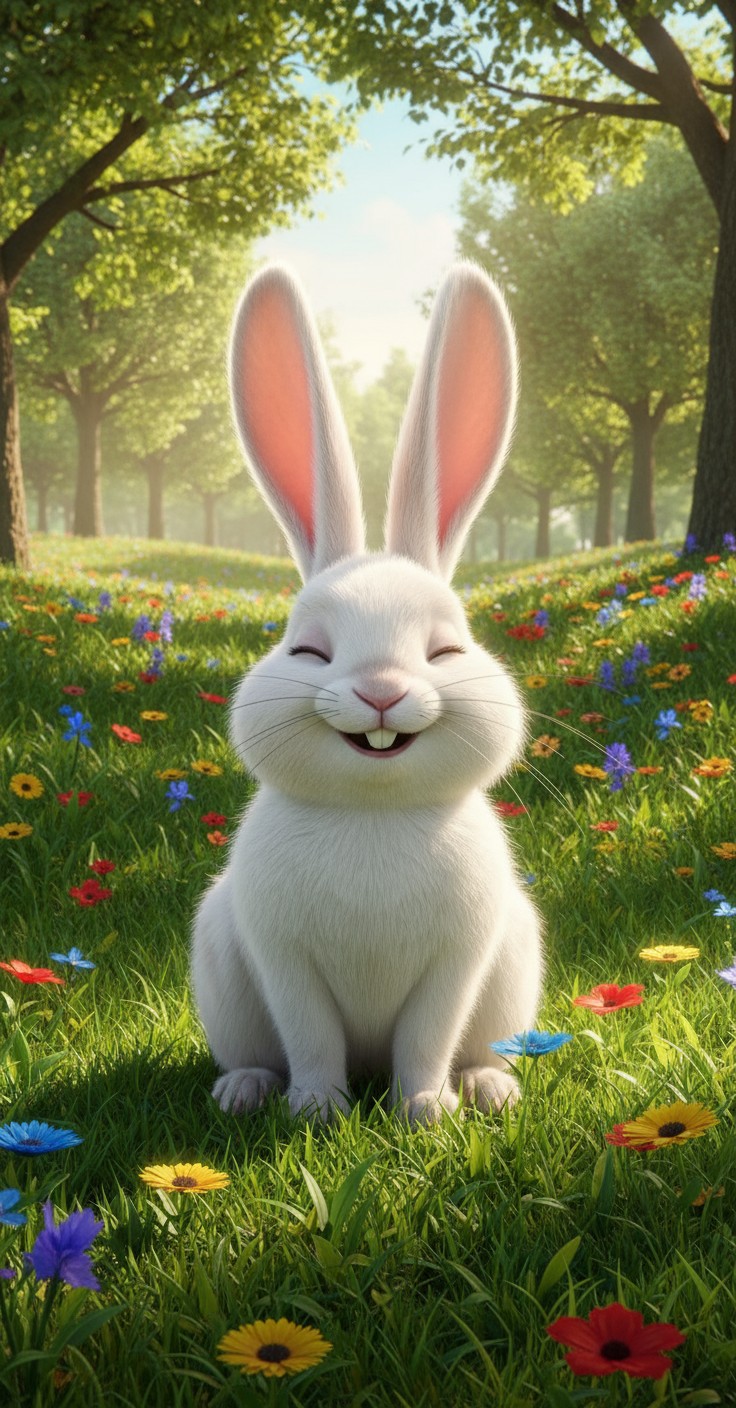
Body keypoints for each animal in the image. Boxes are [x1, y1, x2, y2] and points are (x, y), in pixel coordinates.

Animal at [190, 260, 543, 1126]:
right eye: (308, 649)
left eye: (446, 647)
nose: (381, 690)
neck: (373, 813)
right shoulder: (283, 959)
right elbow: (310, 1036)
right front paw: (317, 1109)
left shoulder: (458, 960)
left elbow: (427, 1037)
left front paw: (426, 1112)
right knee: (258, 1051)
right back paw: (245, 1089)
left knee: (478, 1046)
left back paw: (489, 1087)